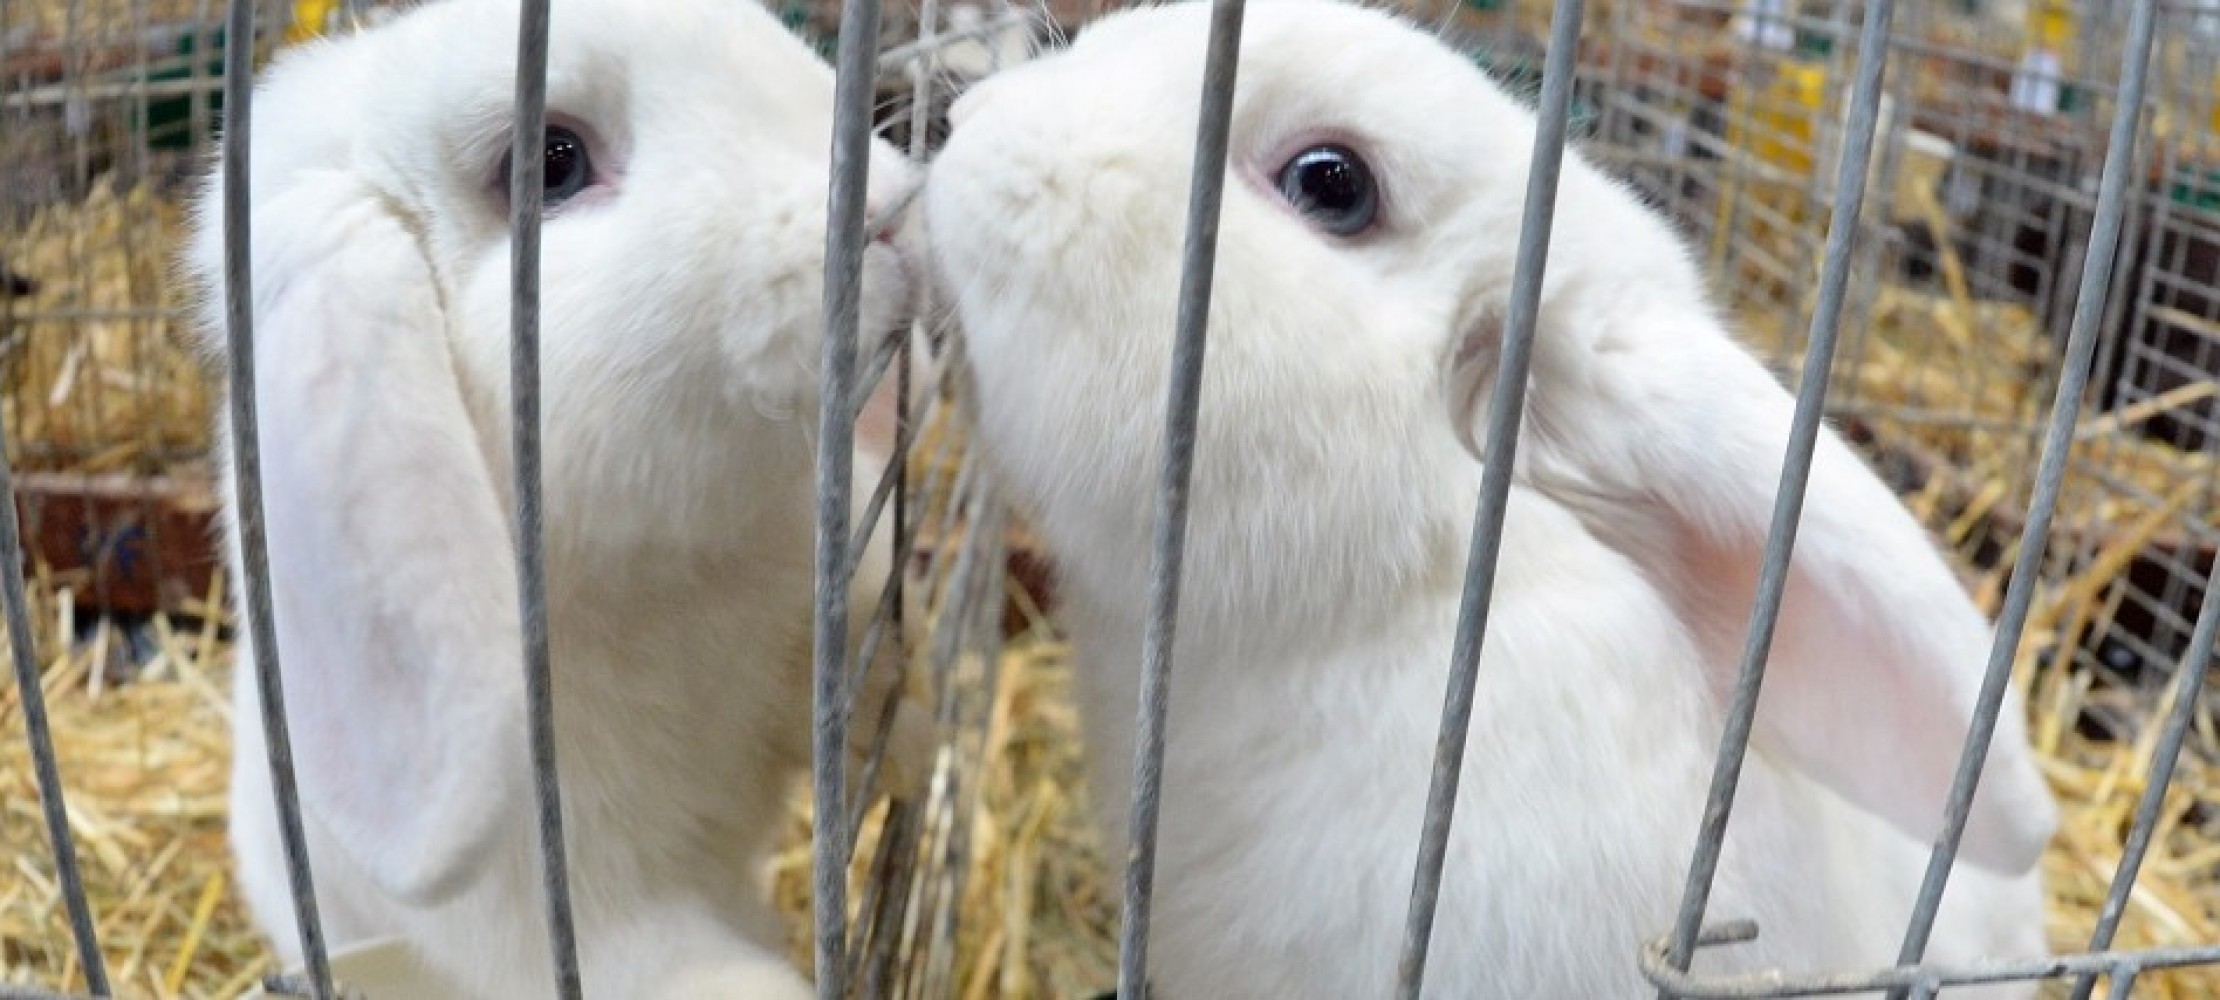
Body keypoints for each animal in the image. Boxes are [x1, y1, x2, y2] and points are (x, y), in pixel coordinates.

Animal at [179, 0, 934, 996]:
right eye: (551, 163)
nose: (887, 210)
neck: (667, 580)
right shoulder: (576, 918)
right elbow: (699, 974)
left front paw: (909, 738)